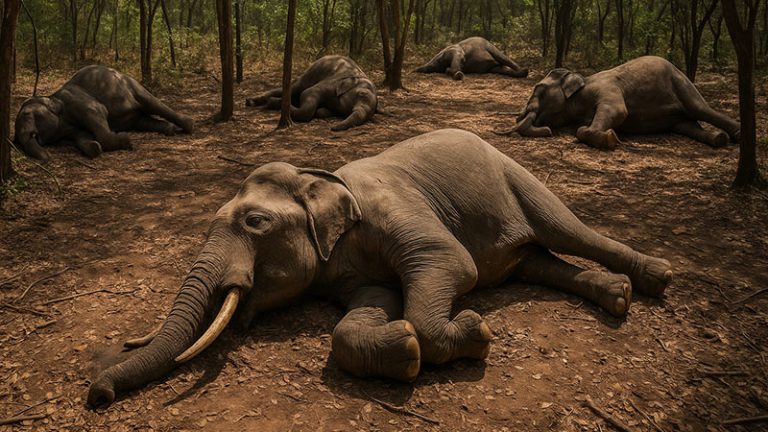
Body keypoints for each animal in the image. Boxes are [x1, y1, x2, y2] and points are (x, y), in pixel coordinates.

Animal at [13, 65, 194, 161]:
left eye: (27, 115)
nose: (49, 157)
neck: (52, 97)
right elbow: (82, 136)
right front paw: (95, 147)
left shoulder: (78, 100)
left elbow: (97, 112)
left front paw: (127, 141)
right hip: (135, 116)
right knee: (143, 120)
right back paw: (169, 129)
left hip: (131, 85)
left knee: (152, 103)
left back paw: (189, 125)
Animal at [87, 129, 673, 408]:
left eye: (255, 222)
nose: (98, 393)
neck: (317, 178)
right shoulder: (347, 270)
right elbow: (369, 310)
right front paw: (404, 348)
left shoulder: (395, 210)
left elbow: (453, 265)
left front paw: (472, 332)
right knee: (535, 263)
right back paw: (618, 296)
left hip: (517, 176)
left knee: (566, 232)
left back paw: (656, 278)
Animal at [245, 55, 378, 131]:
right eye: (361, 94)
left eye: (373, 112)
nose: (332, 128)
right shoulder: (332, 82)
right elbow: (307, 93)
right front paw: (277, 103)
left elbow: (320, 111)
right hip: (313, 70)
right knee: (296, 87)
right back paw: (253, 101)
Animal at [500, 56, 740, 150]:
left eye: (539, 90)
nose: (548, 131)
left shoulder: (607, 89)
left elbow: (617, 111)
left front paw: (611, 138)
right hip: (677, 112)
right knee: (687, 125)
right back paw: (719, 139)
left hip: (681, 82)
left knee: (701, 109)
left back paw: (736, 135)